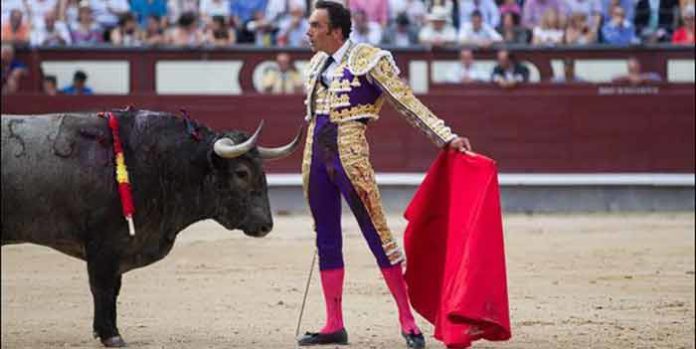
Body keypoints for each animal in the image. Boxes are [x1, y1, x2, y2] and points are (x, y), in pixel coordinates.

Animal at [0, 109, 300, 346]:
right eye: (241, 173)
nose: (266, 226)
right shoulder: (103, 245)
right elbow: (102, 287)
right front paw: (111, 335)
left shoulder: (119, 246)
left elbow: (114, 288)